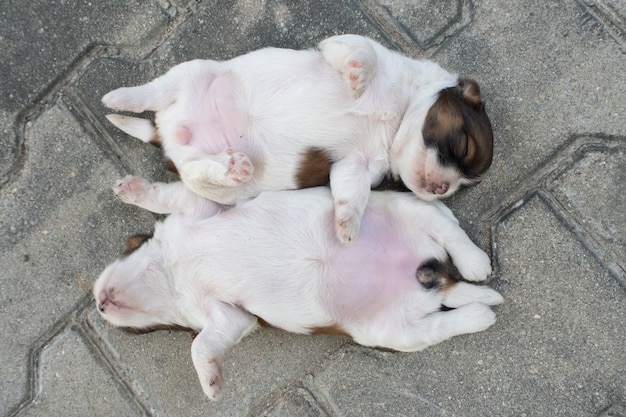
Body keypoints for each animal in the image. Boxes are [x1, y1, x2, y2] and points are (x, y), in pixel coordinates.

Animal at [94, 177, 502, 402]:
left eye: (134, 333)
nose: (98, 306)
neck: (171, 274)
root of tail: (434, 277)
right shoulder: (228, 316)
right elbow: (204, 342)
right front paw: (211, 379)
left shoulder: (195, 206)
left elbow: (163, 195)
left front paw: (130, 189)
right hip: (392, 331)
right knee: (442, 324)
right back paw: (480, 311)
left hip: (404, 206)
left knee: (448, 228)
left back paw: (475, 262)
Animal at [102, 35, 492, 245]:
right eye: (463, 146)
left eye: (462, 185)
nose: (442, 189)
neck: (396, 118)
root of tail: (168, 136)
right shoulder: (349, 43)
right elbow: (363, 53)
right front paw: (357, 78)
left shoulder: (357, 166)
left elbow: (353, 195)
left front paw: (347, 226)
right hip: (192, 72)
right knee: (155, 90)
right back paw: (119, 97)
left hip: (221, 191)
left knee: (190, 180)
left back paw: (224, 168)